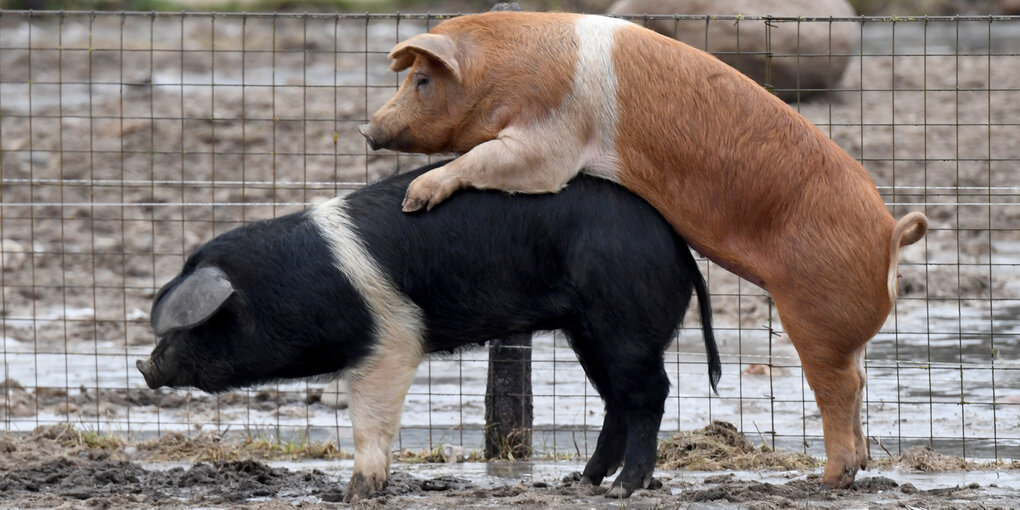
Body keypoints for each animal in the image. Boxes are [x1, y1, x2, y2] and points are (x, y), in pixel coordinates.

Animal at [139, 160, 722, 501]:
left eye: (199, 323)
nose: (145, 365)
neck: (302, 286)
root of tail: (679, 249)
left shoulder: (391, 346)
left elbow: (369, 423)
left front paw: (355, 495)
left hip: (623, 321)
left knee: (649, 394)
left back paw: (625, 489)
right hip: (587, 330)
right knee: (616, 401)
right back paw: (581, 481)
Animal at [363, 10, 930, 489]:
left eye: (422, 80)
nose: (367, 128)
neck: (507, 73)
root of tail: (890, 235)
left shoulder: (548, 142)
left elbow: (487, 159)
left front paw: (414, 199)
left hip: (816, 315)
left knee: (839, 386)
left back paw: (829, 480)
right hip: (841, 328)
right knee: (860, 378)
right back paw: (857, 467)